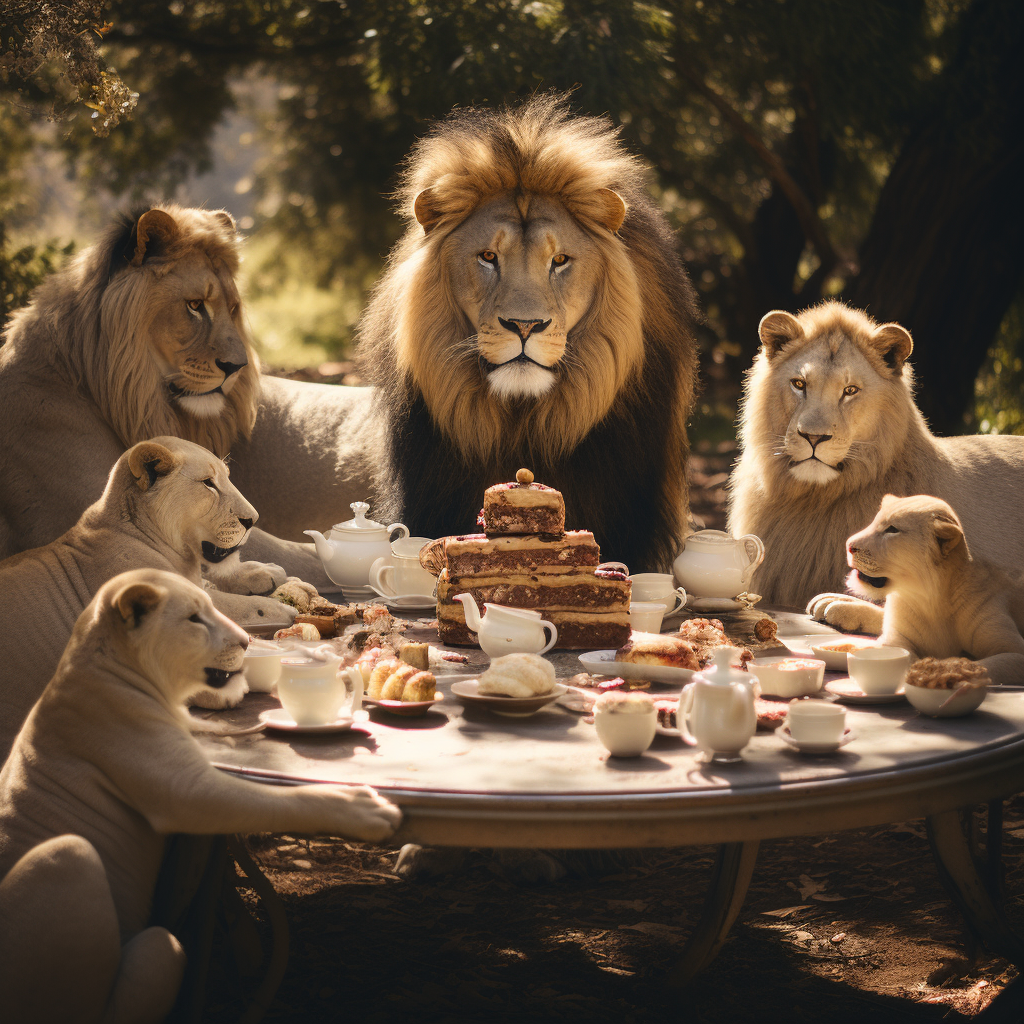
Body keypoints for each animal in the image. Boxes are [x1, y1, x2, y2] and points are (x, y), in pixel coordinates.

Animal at [0, 569, 399, 1024]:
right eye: (194, 618)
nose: (246, 642)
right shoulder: (188, 792)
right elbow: (283, 799)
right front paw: (362, 807)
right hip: (72, 860)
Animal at [843, 491, 1019, 684]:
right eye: (874, 522)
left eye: (892, 530)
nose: (849, 546)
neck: (931, 599)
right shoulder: (894, 638)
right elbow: (903, 658)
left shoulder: (1013, 650)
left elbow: (984, 666)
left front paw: (945, 673)